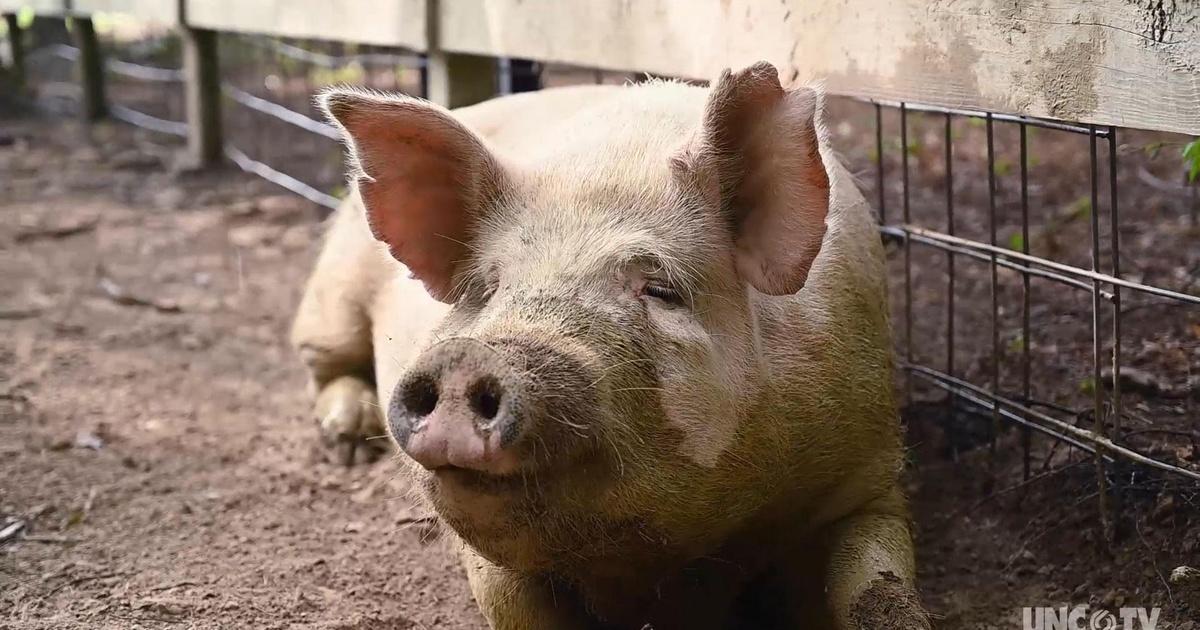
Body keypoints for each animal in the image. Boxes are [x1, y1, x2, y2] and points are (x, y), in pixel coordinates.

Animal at [291, 62, 930, 629]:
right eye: (489, 288)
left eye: (660, 288)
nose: (468, 356)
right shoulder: (490, 561)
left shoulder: (869, 470)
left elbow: (878, 592)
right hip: (330, 296)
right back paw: (345, 443)